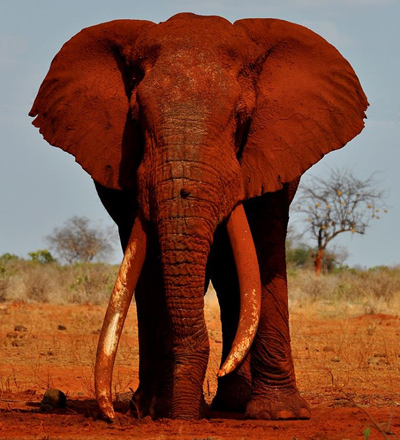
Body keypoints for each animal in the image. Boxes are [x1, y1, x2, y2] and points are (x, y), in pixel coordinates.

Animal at [30, 12, 368, 420]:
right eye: (136, 117)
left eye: (242, 116)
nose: (188, 416)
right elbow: (152, 265)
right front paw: (161, 410)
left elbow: (264, 249)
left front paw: (280, 414)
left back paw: (230, 404)